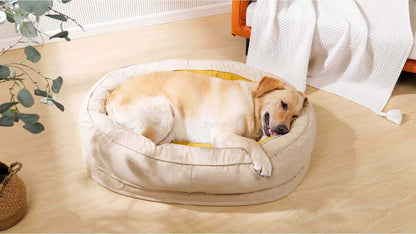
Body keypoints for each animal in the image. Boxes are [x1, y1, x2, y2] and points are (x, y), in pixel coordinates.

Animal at [105, 70, 308, 176]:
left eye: (294, 116)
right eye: (283, 104)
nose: (283, 130)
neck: (251, 102)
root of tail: (110, 97)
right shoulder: (222, 134)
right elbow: (251, 143)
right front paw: (263, 161)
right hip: (163, 112)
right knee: (144, 143)